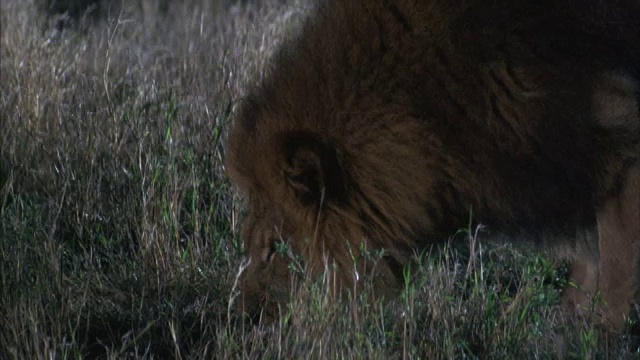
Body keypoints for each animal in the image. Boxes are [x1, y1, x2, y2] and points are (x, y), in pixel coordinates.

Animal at [226, 0, 640, 328]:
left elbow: (617, 276)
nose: (243, 317)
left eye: (275, 248)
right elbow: (588, 272)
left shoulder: (619, 150)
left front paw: (600, 339)